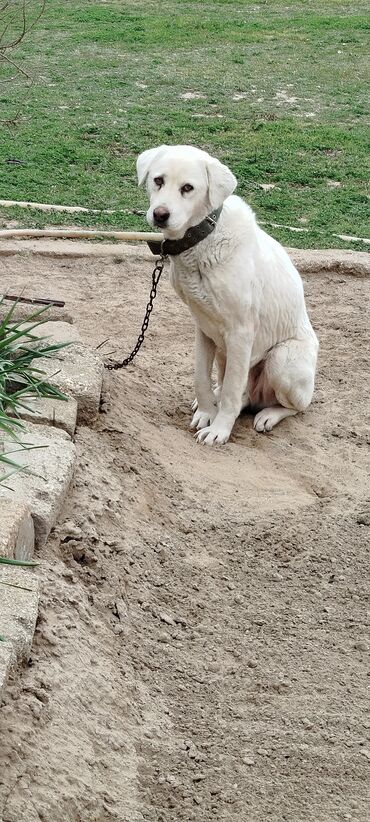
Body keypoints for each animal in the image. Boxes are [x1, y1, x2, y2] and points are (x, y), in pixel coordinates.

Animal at [137, 145, 320, 448]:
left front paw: (219, 430)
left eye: (188, 188)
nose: (160, 214)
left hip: (281, 360)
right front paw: (206, 412)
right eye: (158, 180)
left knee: (295, 405)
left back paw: (268, 415)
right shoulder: (203, 326)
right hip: (226, 352)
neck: (203, 240)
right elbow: (201, 378)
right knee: (236, 391)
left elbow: (232, 393)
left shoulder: (241, 331)